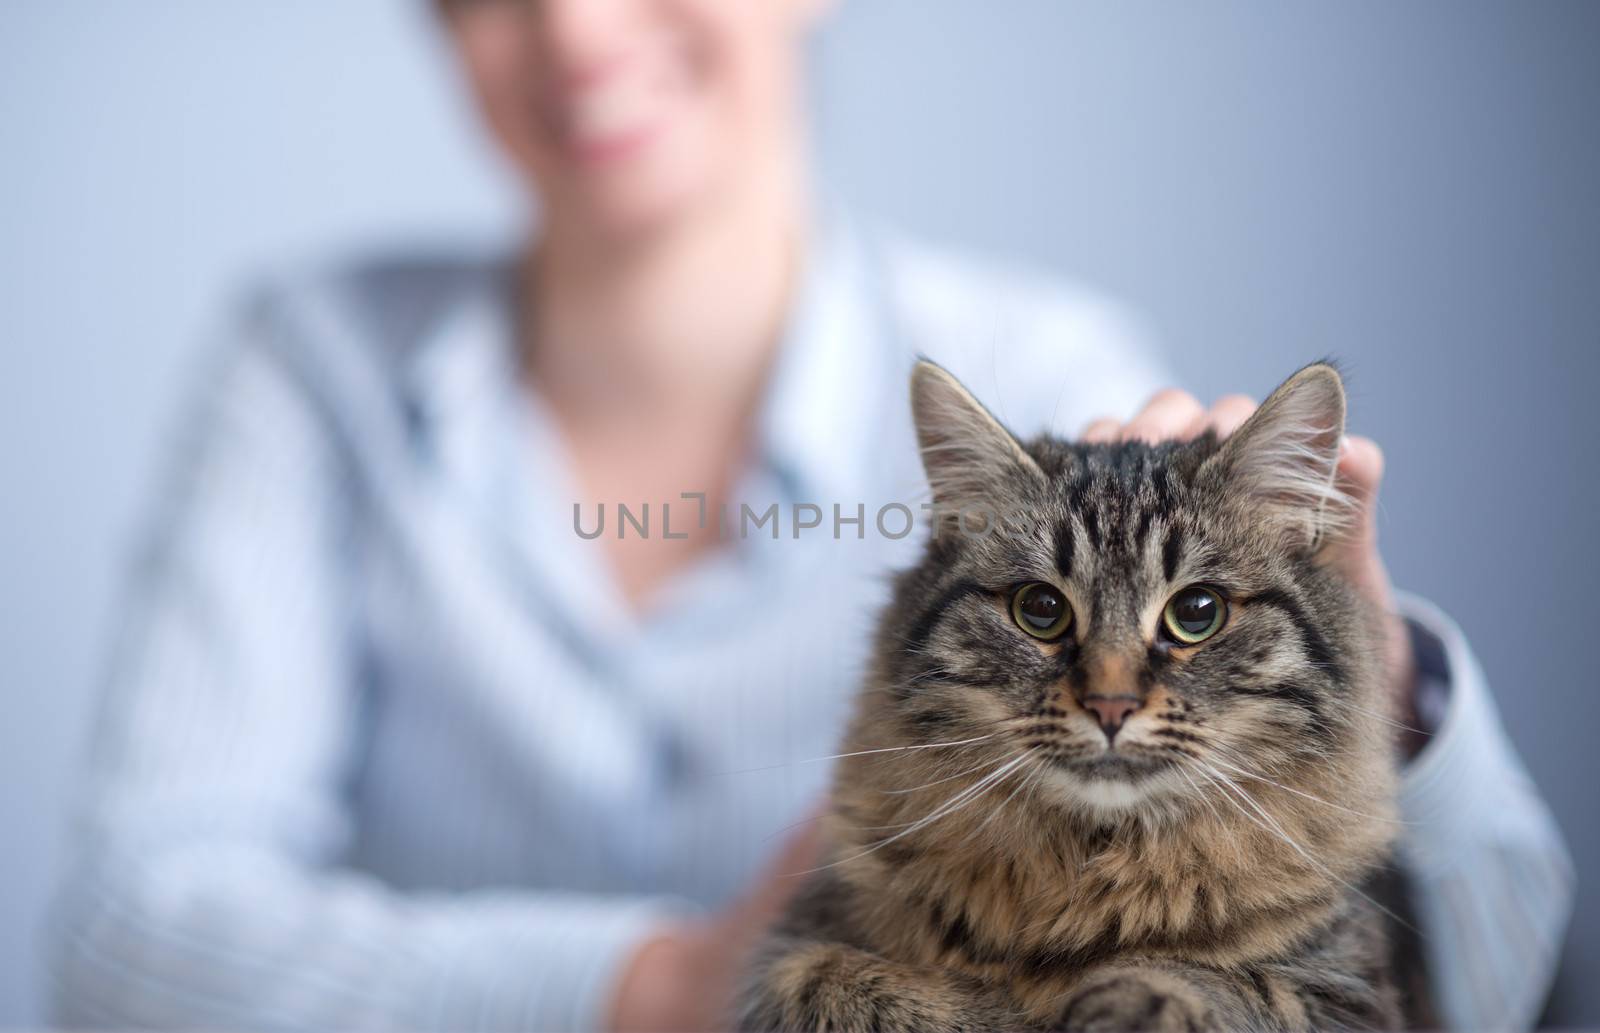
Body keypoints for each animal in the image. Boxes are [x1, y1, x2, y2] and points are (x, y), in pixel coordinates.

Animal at [739, 364, 1414, 1033]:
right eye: (1041, 609)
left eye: (1197, 613)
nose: (1110, 705)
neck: (1089, 876)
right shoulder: (793, 943)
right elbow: (829, 980)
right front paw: (1000, 1009)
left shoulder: (1348, 985)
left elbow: (1209, 982)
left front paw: (1113, 1002)